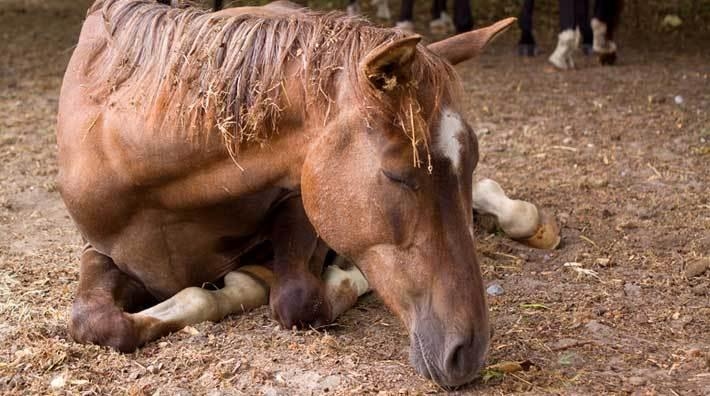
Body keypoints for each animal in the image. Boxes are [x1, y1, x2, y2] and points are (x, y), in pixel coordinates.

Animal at [57, 0, 524, 386]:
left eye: (472, 158)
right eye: (397, 175)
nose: (470, 351)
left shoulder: (300, 199)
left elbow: (297, 298)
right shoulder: (97, 249)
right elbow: (95, 322)